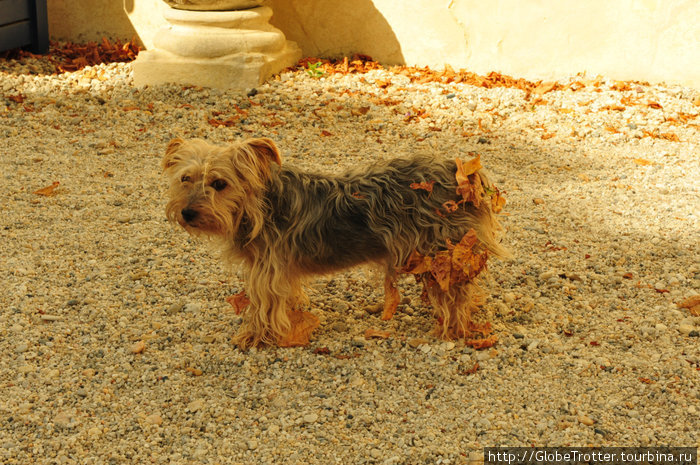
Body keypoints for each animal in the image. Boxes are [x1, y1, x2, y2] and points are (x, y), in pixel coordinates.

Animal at [162, 138, 506, 348]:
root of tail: (464, 175)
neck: (258, 206)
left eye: (220, 184)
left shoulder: (267, 270)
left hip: (443, 252)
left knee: (454, 295)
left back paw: (453, 329)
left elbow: (264, 307)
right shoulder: (281, 268)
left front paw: (256, 337)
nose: (187, 212)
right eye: (185, 179)